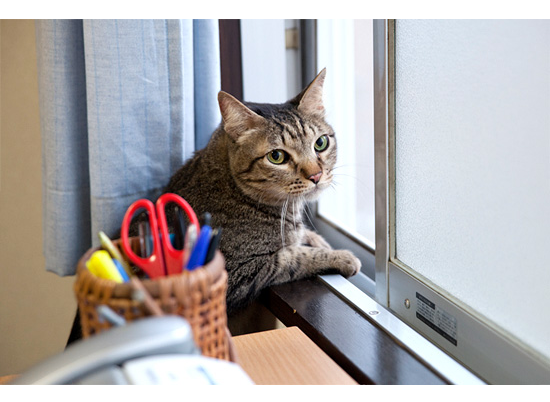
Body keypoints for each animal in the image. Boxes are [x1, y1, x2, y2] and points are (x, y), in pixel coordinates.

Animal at [164, 69, 362, 314]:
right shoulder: (235, 271)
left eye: (321, 143)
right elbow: (294, 256)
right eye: (276, 156)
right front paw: (341, 256)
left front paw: (316, 238)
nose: (316, 176)